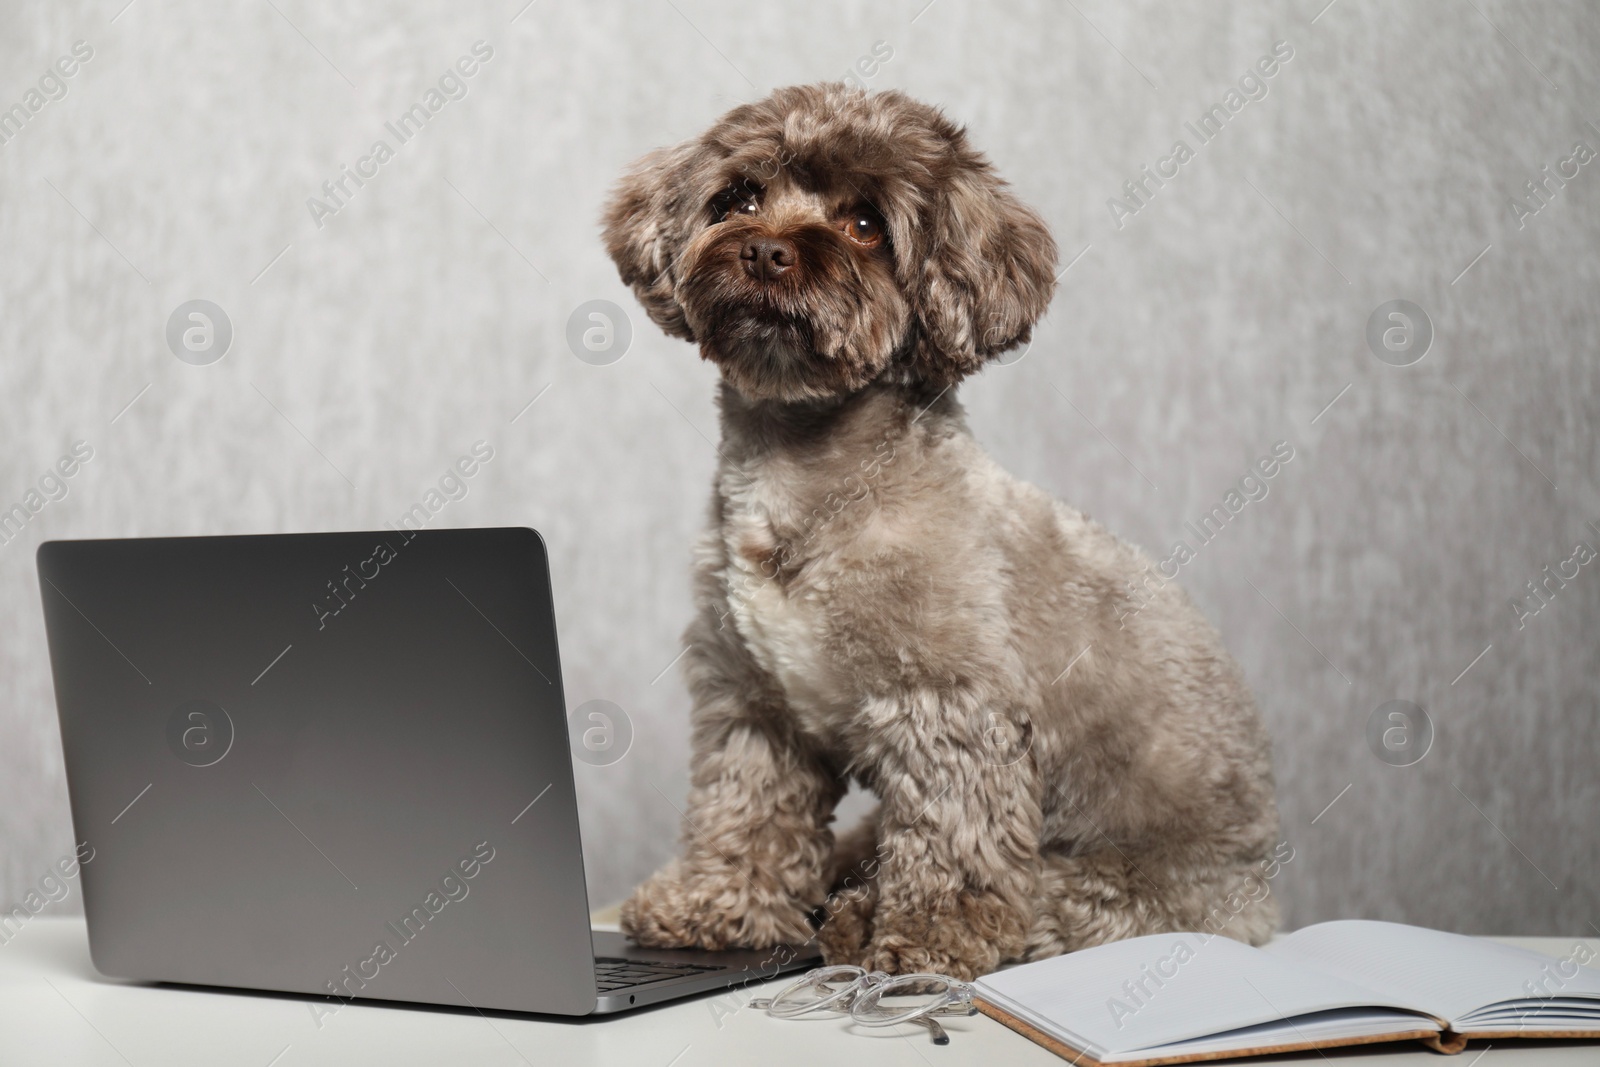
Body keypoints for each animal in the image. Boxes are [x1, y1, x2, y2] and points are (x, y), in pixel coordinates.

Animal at [604, 85, 1280, 985]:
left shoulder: (950, 708)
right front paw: (715, 905)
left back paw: (859, 916)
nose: (769, 251)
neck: (809, 478)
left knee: (1046, 900)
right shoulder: (753, 703)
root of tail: (1263, 891)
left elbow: (953, 838)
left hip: (1126, 888)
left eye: (865, 224)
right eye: (740, 197)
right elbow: (742, 811)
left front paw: (927, 934)